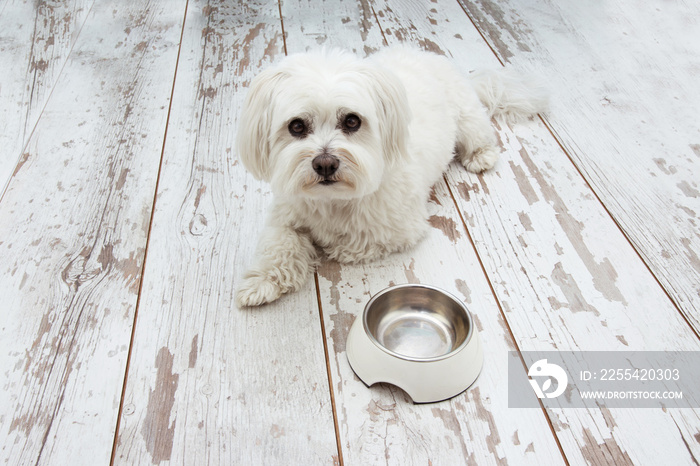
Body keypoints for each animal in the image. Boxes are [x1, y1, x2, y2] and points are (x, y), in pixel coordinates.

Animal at [235, 46, 548, 306]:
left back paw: (481, 155)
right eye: (297, 126)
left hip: (468, 118)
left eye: (352, 121)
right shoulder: (285, 213)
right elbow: (278, 244)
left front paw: (334, 246)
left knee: (479, 134)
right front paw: (262, 281)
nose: (325, 164)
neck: (334, 201)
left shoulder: (398, 228)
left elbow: (354, 242)